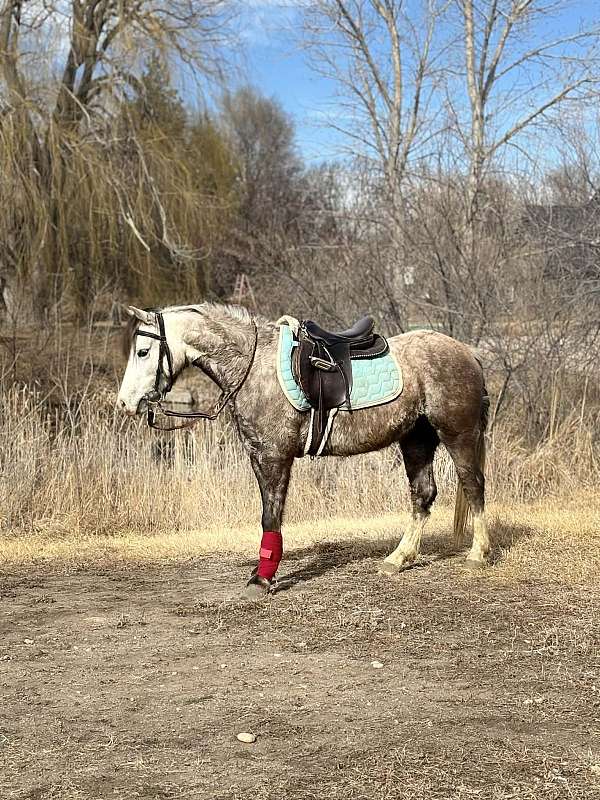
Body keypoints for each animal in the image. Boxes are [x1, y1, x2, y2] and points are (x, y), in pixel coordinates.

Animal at [117, 303, 490, 597]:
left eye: (143, 352)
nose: (124, 404)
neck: (254, 366)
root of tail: (468, 352)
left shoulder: (274, 457)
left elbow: (271, 516)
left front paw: (261, 579)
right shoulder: (258, 456)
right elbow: (269, 513)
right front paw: (262, 574)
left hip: (458, 435)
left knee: (473, 486)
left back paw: (477, 554)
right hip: (416, 439)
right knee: (422, 495)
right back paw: (398, 559)